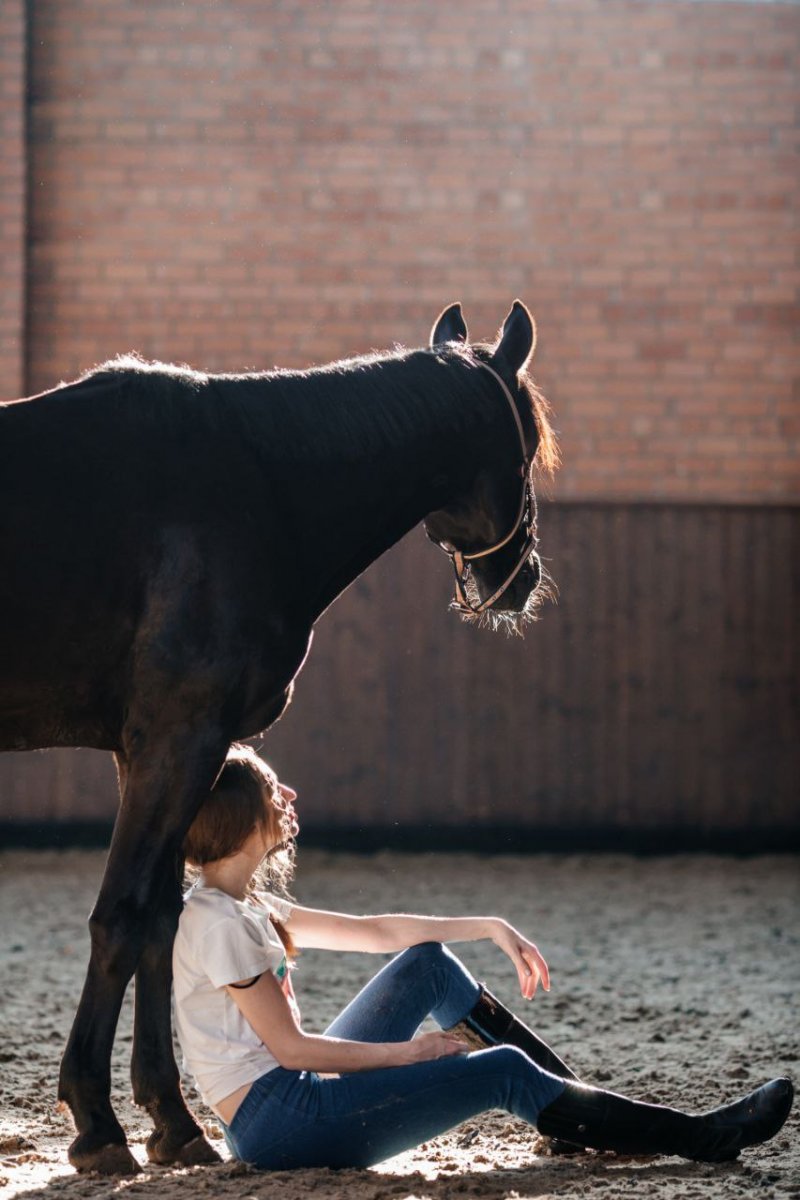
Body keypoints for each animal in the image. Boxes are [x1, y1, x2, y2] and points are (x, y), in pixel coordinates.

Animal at [1, 300, 556, 1171]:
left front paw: (172, 1121)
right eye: (529, 447)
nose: (518, 580)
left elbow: (163, 921)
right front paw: (96, 1123)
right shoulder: (178, 737)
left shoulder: (158, 750)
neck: (255, 487)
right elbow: (123, 917)